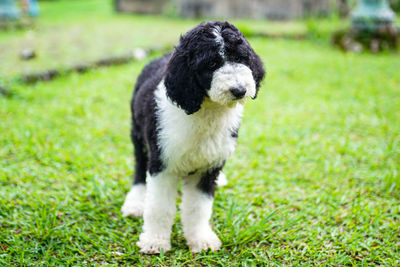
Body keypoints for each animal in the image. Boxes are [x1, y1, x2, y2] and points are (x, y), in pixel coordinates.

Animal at [122, 21, 266, 255]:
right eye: (211, 64)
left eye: (241, 58)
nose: (239, 90)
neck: (208, 110)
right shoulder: (163, 162)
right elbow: (159, 206)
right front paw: (155, 241)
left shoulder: (208, 167)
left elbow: (198, 207)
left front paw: (201, 239)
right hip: (138, 133)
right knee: (139, 167)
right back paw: (135, 202)